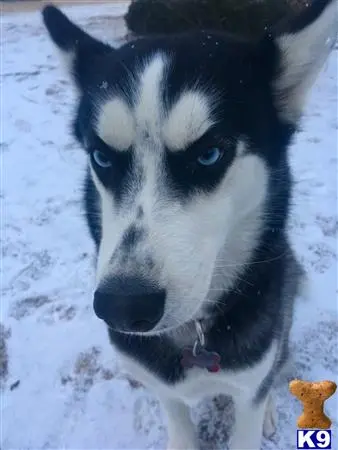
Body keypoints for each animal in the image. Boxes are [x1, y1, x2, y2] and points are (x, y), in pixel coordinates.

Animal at [41, 1, 336, 448]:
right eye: (102, 157)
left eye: (209, 154)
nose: (124, 307)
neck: (192, 338)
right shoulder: (163, 389)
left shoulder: (249, 386)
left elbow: (255, 397)